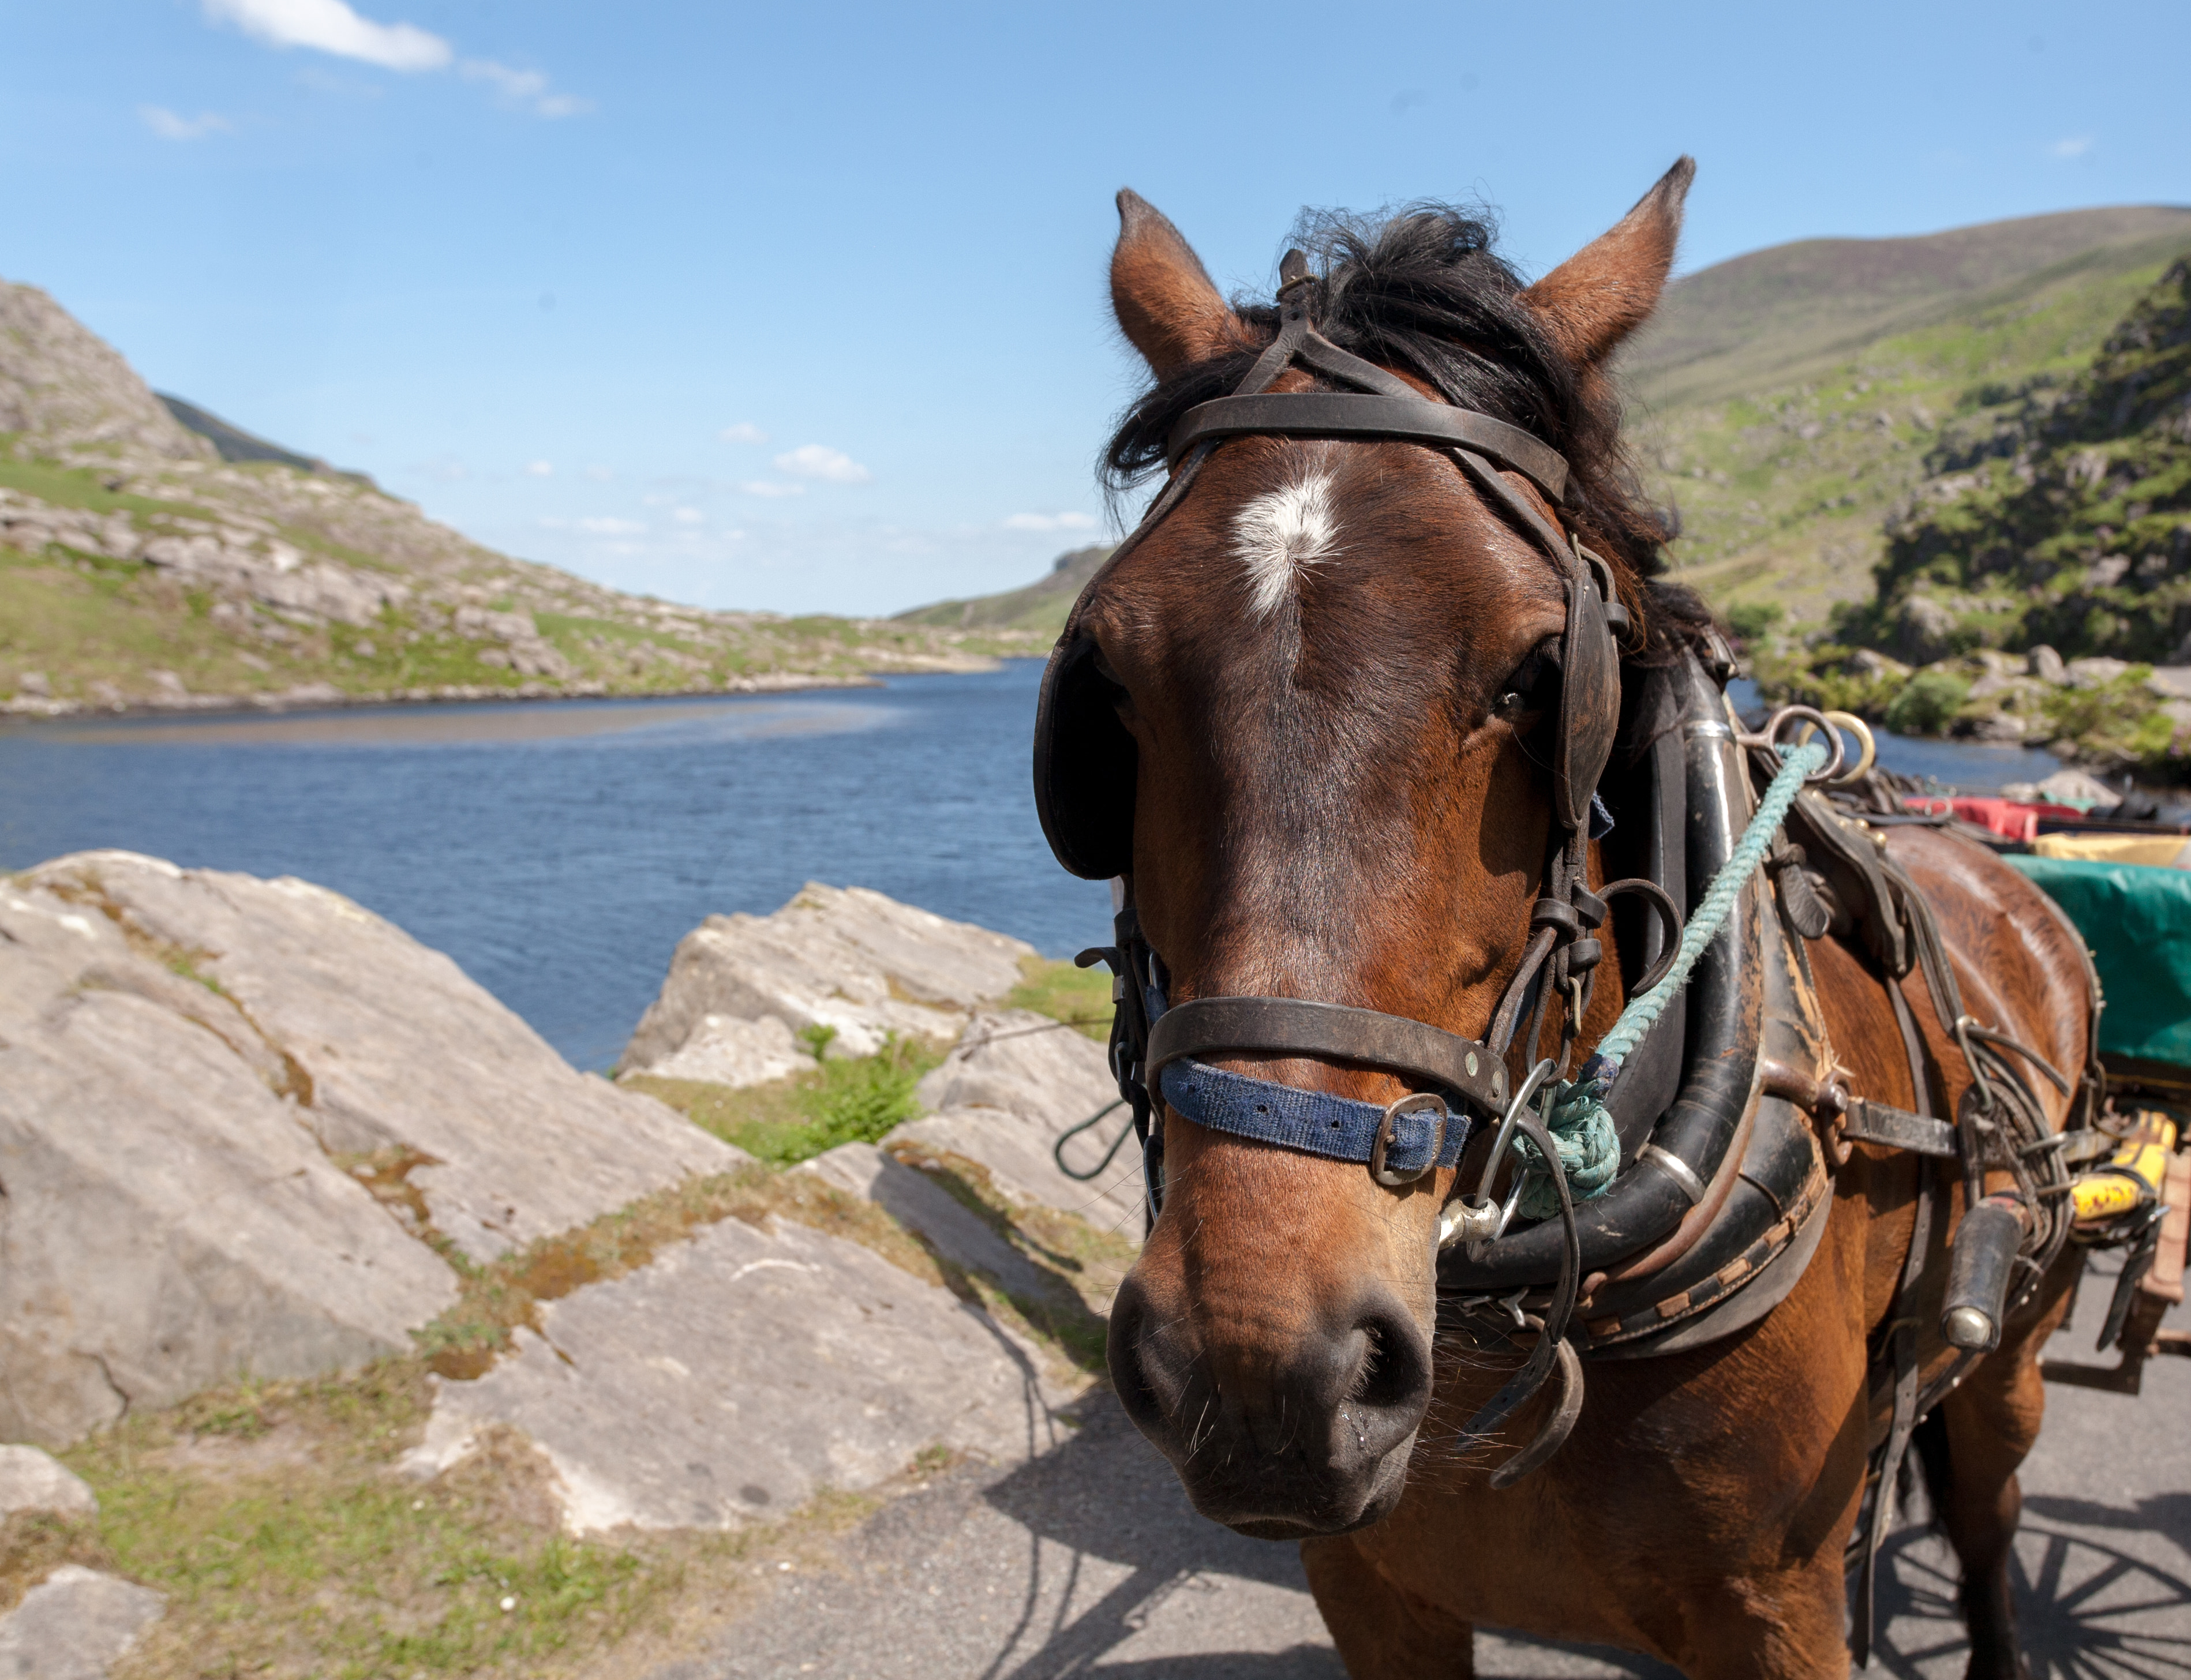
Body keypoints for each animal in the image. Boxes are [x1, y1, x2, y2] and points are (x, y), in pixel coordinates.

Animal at [1035, 160, 2095, 1678]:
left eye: (1543, 675)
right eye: (1108, 682)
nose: (1260, 1369)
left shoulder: (1779, 1613)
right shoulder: (1369, 1589)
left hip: (2011, 1351)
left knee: (1992, 1527)